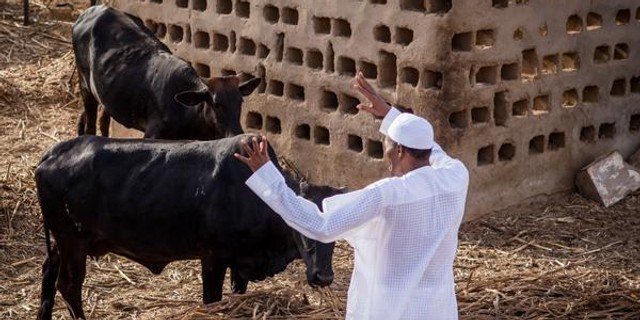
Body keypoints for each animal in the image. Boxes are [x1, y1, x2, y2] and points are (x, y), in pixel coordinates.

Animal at [35, 134, 342, 318]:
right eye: (303, 224)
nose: (323, 276)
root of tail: (54, 152)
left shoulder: (240, 263)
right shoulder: (213, 258)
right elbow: (211, 300)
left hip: (64, 243)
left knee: (49, 273)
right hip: (73, 242)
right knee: (68, 285)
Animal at [70, 5, 260, 139]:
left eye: (240, 102)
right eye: (216, 103)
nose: (236, 133)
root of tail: (92, 11)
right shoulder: (152, 134)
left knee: (103, 120)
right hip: (85, 86)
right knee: (90, 127)